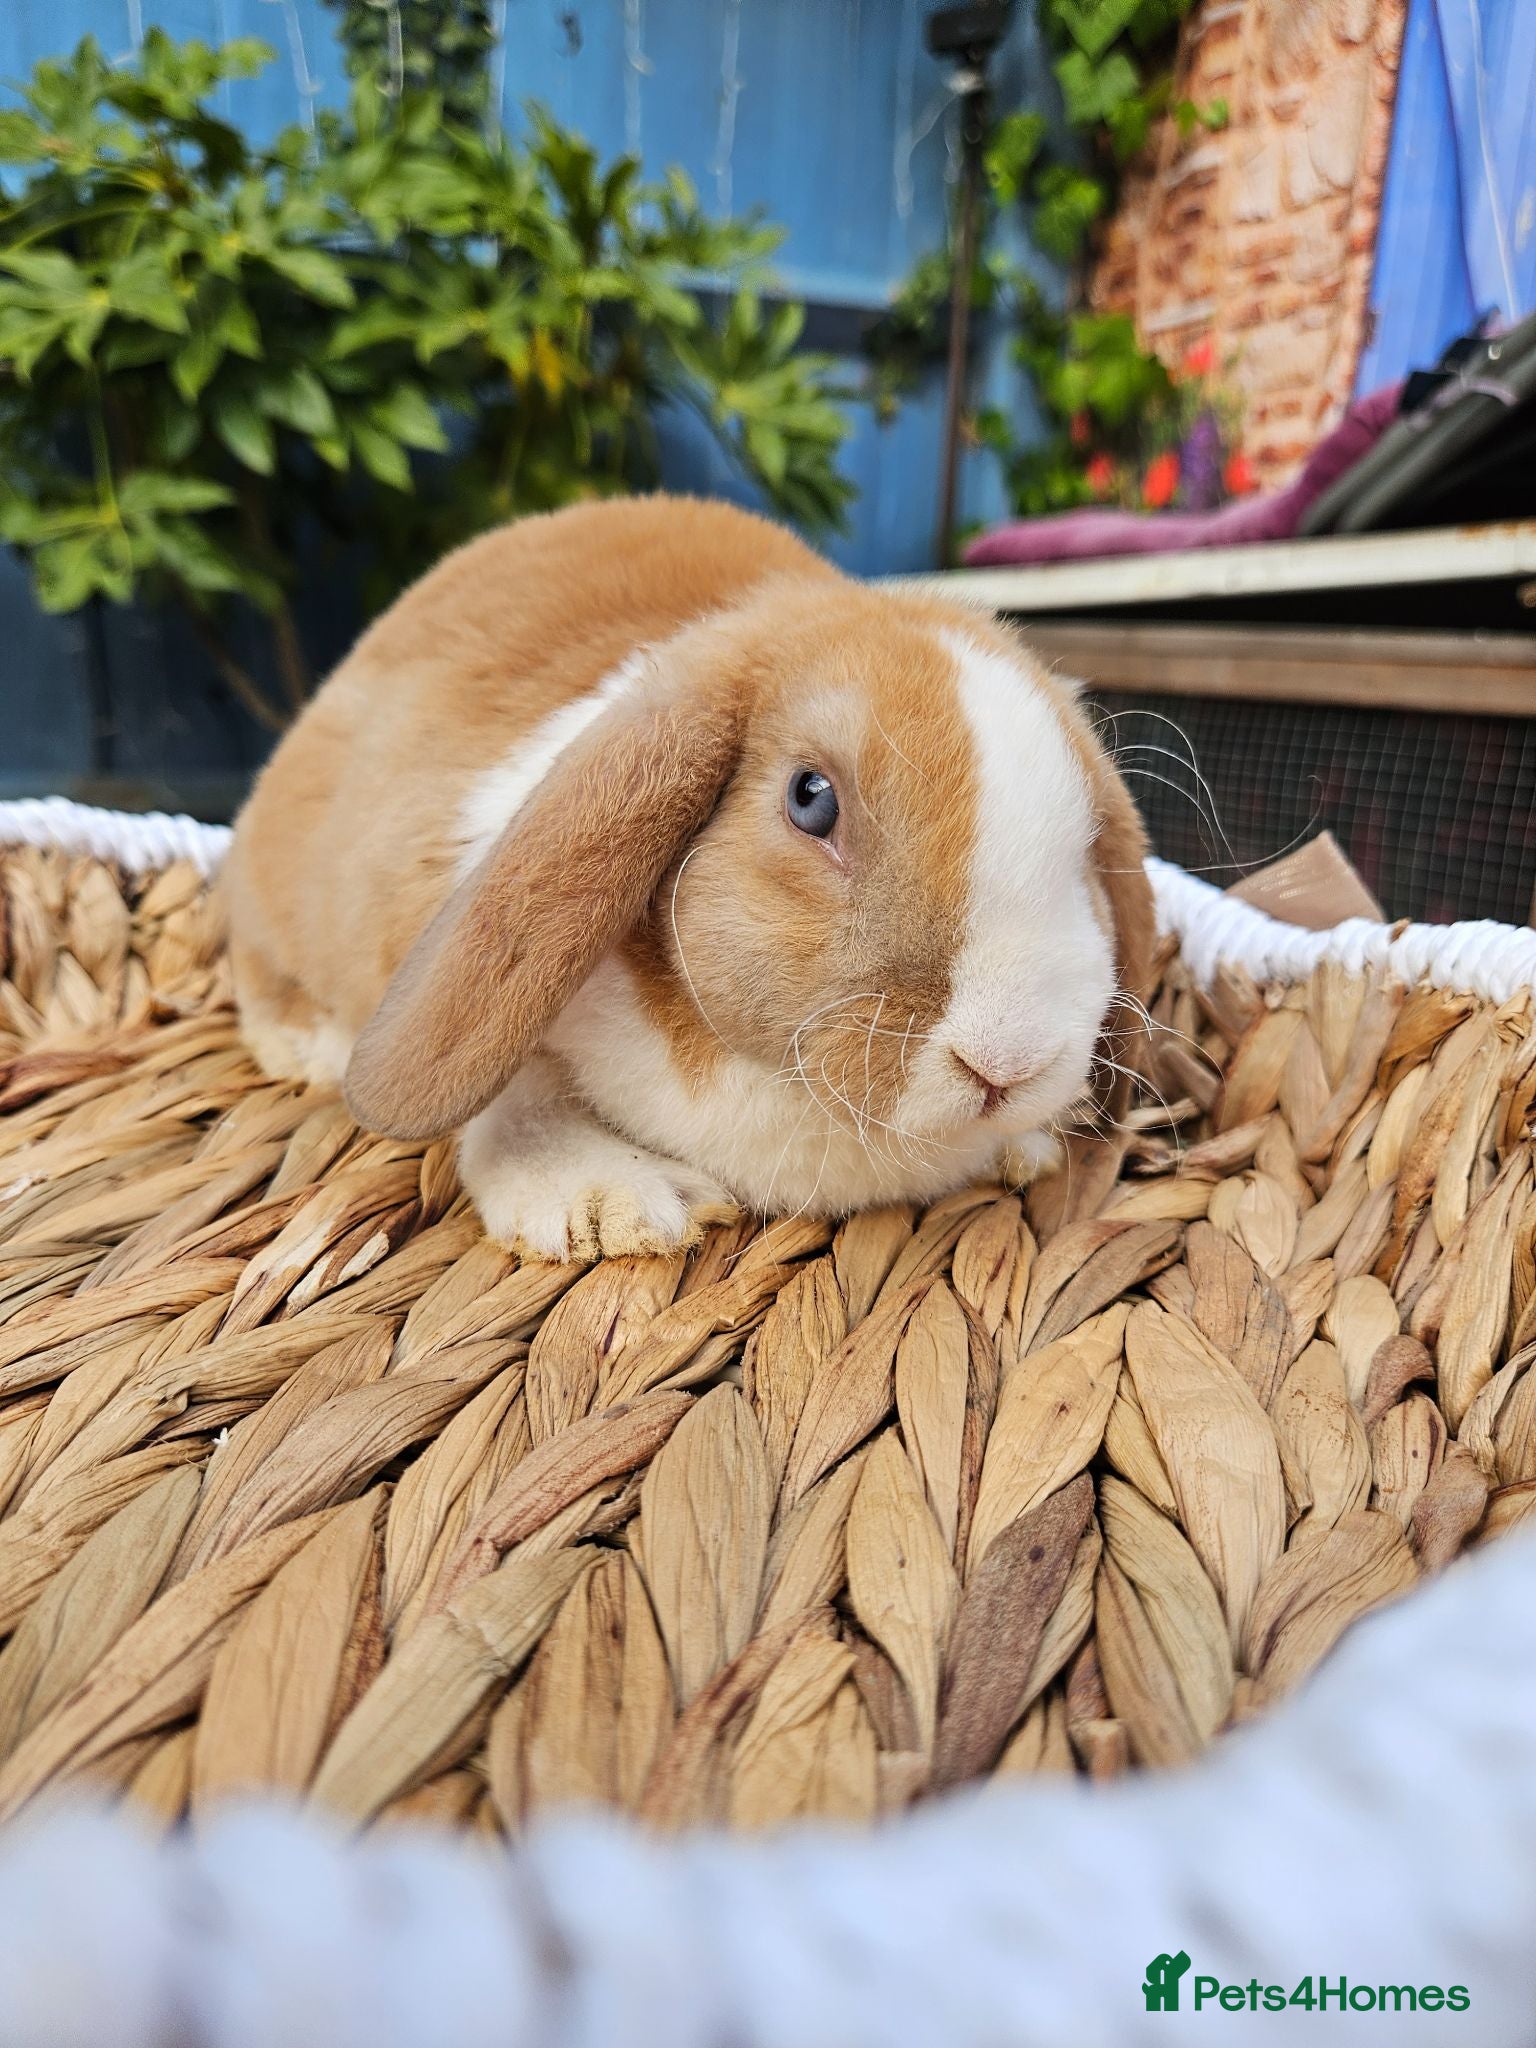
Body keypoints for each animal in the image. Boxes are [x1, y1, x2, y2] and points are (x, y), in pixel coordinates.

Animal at [224, 494, 1154, 1260]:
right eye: (811, 800)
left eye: (1086, 844)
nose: (1007, 1063)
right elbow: (515, 1095)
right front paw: (614, 1202)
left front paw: (1030, 1143)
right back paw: (311, 1047)